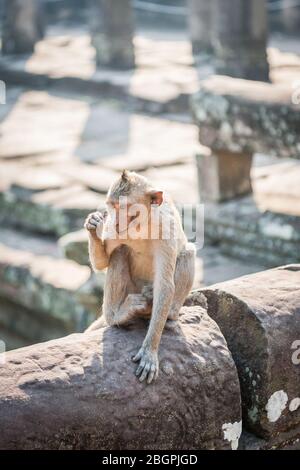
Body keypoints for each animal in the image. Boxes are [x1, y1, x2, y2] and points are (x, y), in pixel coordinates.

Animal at [84, 171, 196, 384]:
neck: (141, 226)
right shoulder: (114, 231)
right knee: (120, 251)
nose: (116, 221)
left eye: (124, 207)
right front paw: (93, 225)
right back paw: (117, 316)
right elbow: (102, 263)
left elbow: (165, 285)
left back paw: (167, 313)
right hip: (130, 290)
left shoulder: (166, 230)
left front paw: (149, 351)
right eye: (112, 206)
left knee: (188, 252)